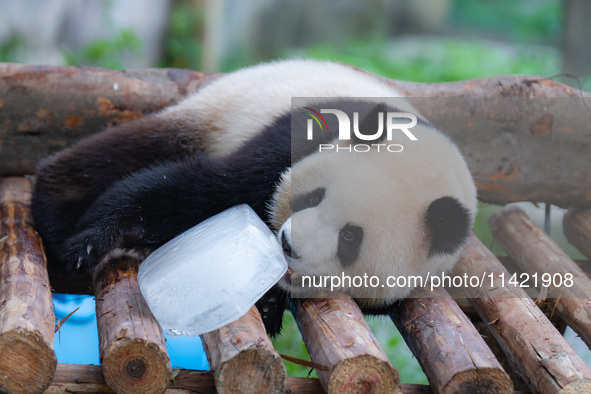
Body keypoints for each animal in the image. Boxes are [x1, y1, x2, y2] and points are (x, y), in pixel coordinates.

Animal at [32, 59, 478, 336]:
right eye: (312, 198)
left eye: (350, 237)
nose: (288, 244)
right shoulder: (300, 136)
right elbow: (205, 187)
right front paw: (91, 241)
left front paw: (266, 305)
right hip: (218, 112)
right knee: (126, 151)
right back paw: (55, 203)